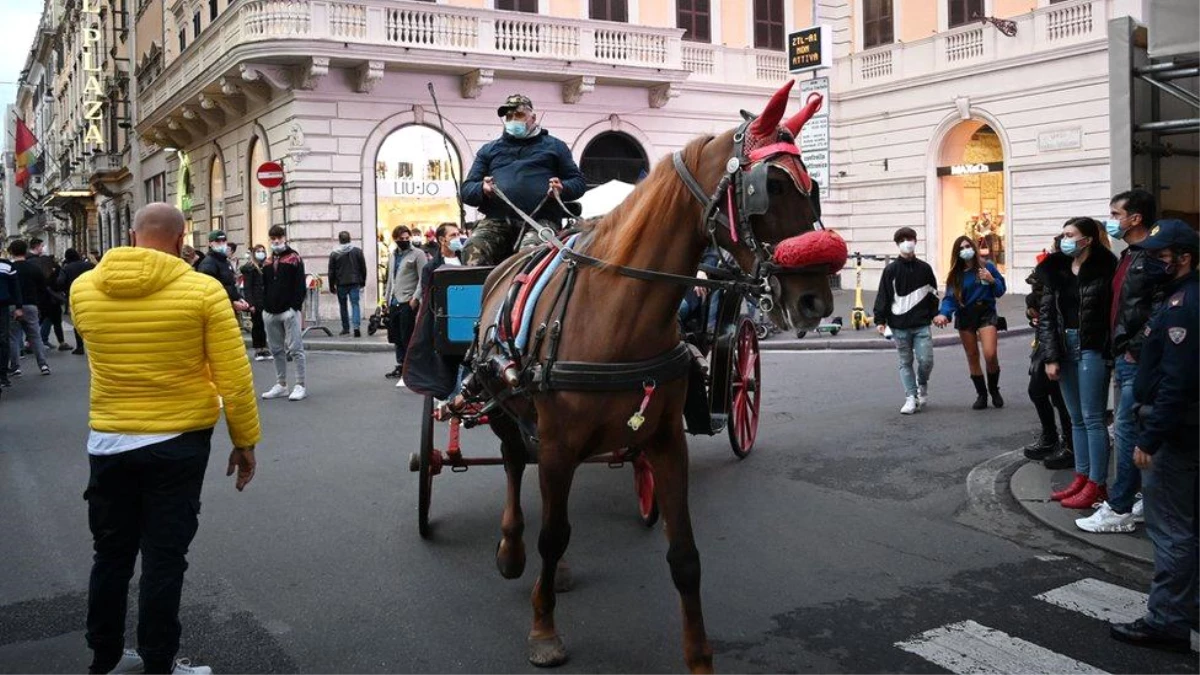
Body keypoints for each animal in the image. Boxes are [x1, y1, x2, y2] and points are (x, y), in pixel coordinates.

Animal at [458, 81, 844, 667]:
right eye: (770, 186)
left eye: (814, 187)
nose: (816, 300)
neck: (617, 307)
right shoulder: (560, 442)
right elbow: (552, 533)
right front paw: (544, 628)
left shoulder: (664, 441)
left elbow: (683, 553)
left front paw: (699, 655)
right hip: (505, 405)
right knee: (513, 465)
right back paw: (511, 548)